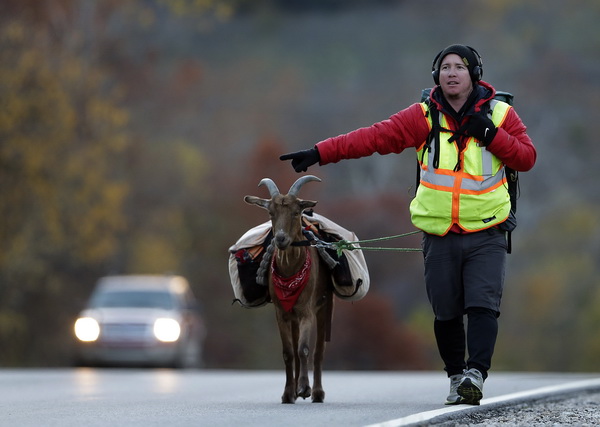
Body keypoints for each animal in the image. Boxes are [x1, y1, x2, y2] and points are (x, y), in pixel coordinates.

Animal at [243, 175, 332, 404]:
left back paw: (317, 393)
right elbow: (288, 352)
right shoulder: (281, 313)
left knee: (319, 350)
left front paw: (305, 388)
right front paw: (287, 393)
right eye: (270, 213)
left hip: (324, 305)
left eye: (296, 212)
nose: (281, 239)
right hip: (292, 316)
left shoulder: (307, 310)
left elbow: (304, 349)